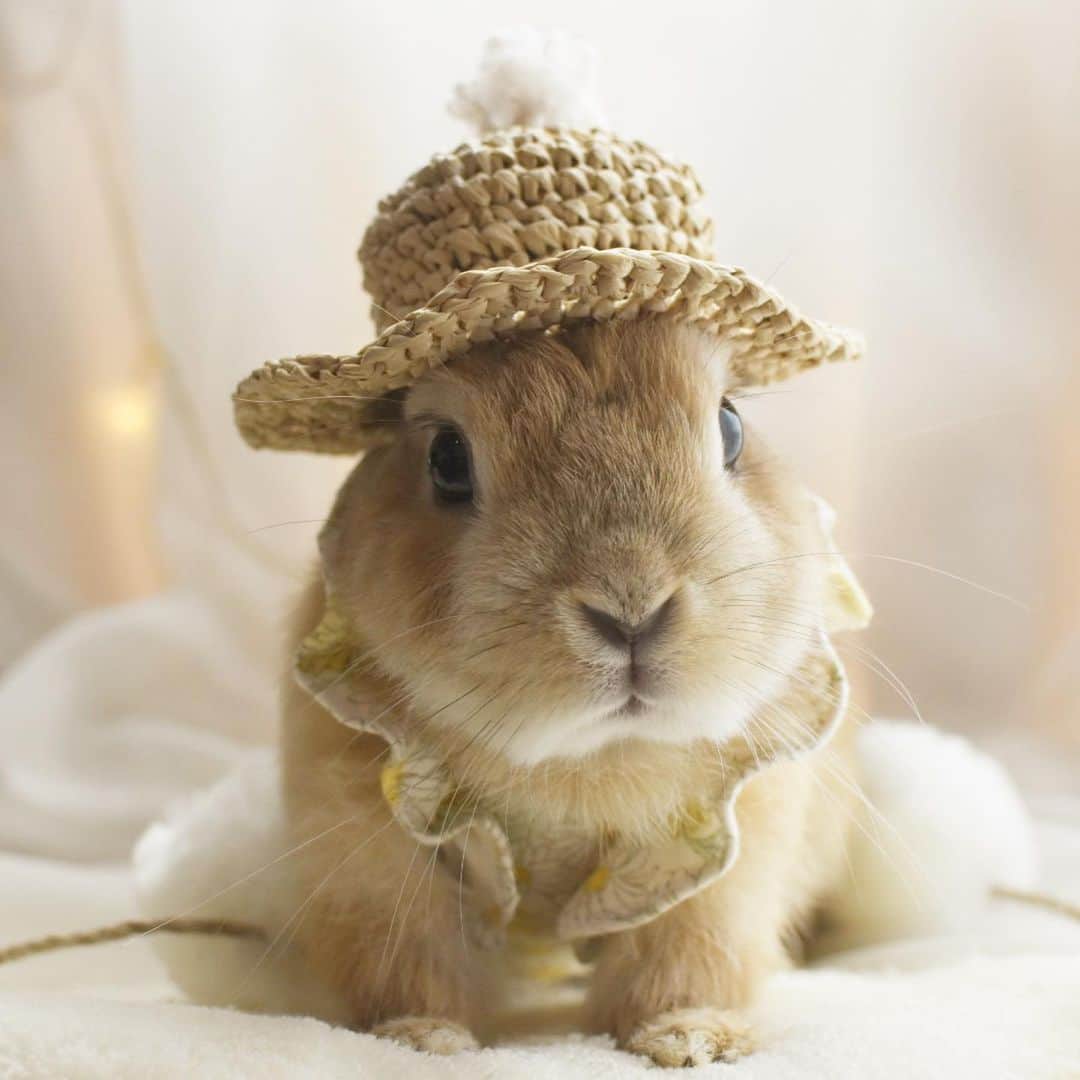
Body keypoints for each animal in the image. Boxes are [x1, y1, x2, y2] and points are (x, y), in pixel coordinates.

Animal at [279, 317, 862, 1067]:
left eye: (730, 427)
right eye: (446, 460)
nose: (632, 608)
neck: (587, 755)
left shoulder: (714, 852)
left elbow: (684, 953)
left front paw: (689, 1038)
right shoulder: (374, 847)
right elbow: (412, 953)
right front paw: (422, 1039)